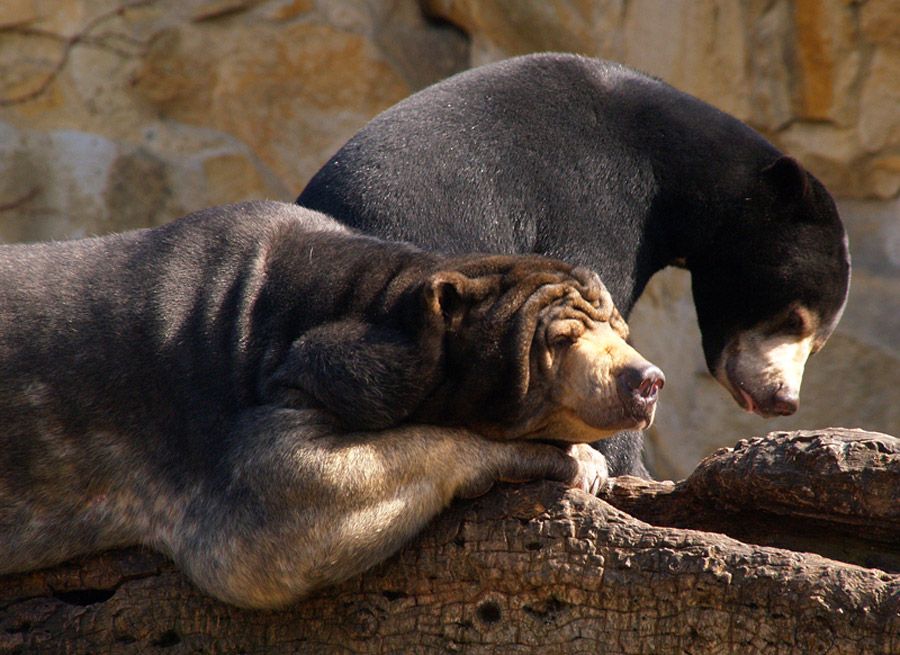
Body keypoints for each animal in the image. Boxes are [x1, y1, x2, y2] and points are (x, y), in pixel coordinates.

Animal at [0, 201, 660, 608]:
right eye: (562, 340)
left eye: (622, 331)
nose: (647, 380)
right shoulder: (212, 414)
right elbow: (275, 502)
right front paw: (571, 461)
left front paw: (589, 459)